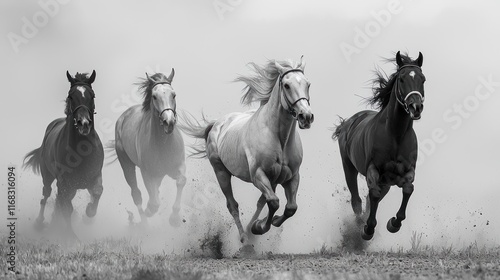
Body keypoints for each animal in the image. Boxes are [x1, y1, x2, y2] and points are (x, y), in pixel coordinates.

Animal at [23, 70, 104, 238]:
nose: (83, 123)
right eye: (71, 96)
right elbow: (67, 207)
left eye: (92, 95)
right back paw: (39, 223)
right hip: (48, 176)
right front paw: (70, 236)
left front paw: (88, 214)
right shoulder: (64, 183)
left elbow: (97, 192)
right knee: (46, 195)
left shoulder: (95, 175)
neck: (81, 151)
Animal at [109, 69, 186, 225]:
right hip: (127, 164)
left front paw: (174, 218)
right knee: (136, 194)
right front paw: (150, 209)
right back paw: (143, 223)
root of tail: (122, 118)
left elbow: (181, 181)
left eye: (173, 94)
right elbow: (154, 203)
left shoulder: (178, 165)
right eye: (155, 96)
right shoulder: (147, 173)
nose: (169, 122)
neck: (164, 145)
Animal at [180, 57, 312, 243]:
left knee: (261, 202)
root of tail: (217, 124)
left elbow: (290, 207)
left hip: (272, 180)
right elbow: (274, 202)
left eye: (308, 84)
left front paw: (268, 222)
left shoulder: (291, 177)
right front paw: (259, 227)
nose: (306, 116)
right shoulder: (258, 175)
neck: (279, 138)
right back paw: (244, 237)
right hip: (221, 172)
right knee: (233, 205)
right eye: (286, 85)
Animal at [334, 51, 424, 240]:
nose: (416, 107)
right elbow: (373, 194)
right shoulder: (373, 169)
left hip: (387, 183)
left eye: (423, 79)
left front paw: (394, 223)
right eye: (401, 79)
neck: (396, 135)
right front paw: (367, 229)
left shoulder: (406, 171)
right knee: (357, 200)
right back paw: (359, 224)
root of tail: (348, 123)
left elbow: (408, 188)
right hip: (349, 167)